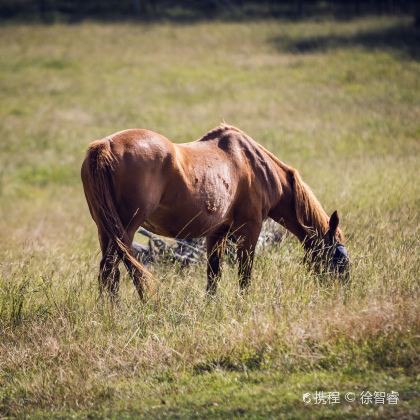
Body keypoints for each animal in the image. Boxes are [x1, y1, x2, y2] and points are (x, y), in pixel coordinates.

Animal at [80, 124, 350, 298]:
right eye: (339, 260)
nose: (342, 293)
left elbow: (213, 275)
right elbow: (244, 273)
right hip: (125, 230)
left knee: (110, 273)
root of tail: (104, 146)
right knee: (115, 271)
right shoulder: (250, 228)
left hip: (106, 230)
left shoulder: (217, 232)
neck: (254, 164)